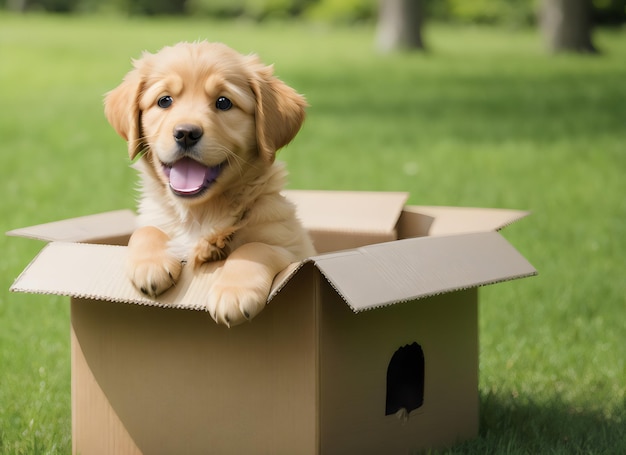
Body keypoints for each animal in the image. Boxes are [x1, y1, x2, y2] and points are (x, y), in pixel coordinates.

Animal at [105, 41, 316, 328]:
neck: (199, 213)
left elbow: (255, 247)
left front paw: (233, 293)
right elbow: (145, 230)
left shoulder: (295, 251)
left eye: (223, 102)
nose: (186, 133)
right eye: (165, 100)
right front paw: (150, 265)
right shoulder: (153, 218)